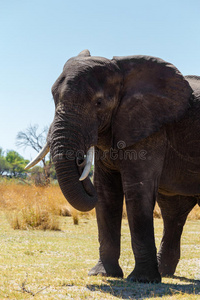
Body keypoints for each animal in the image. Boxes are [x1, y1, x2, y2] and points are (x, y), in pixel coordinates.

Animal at [25, 49, 200, 284]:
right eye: (54, 98)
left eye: (99, 103)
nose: (79, 160)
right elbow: (106, 192)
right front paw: (103, 274)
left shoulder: (150, 127)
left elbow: (137, 190)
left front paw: (141, 280)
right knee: (173, 211)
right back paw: (164, 273)